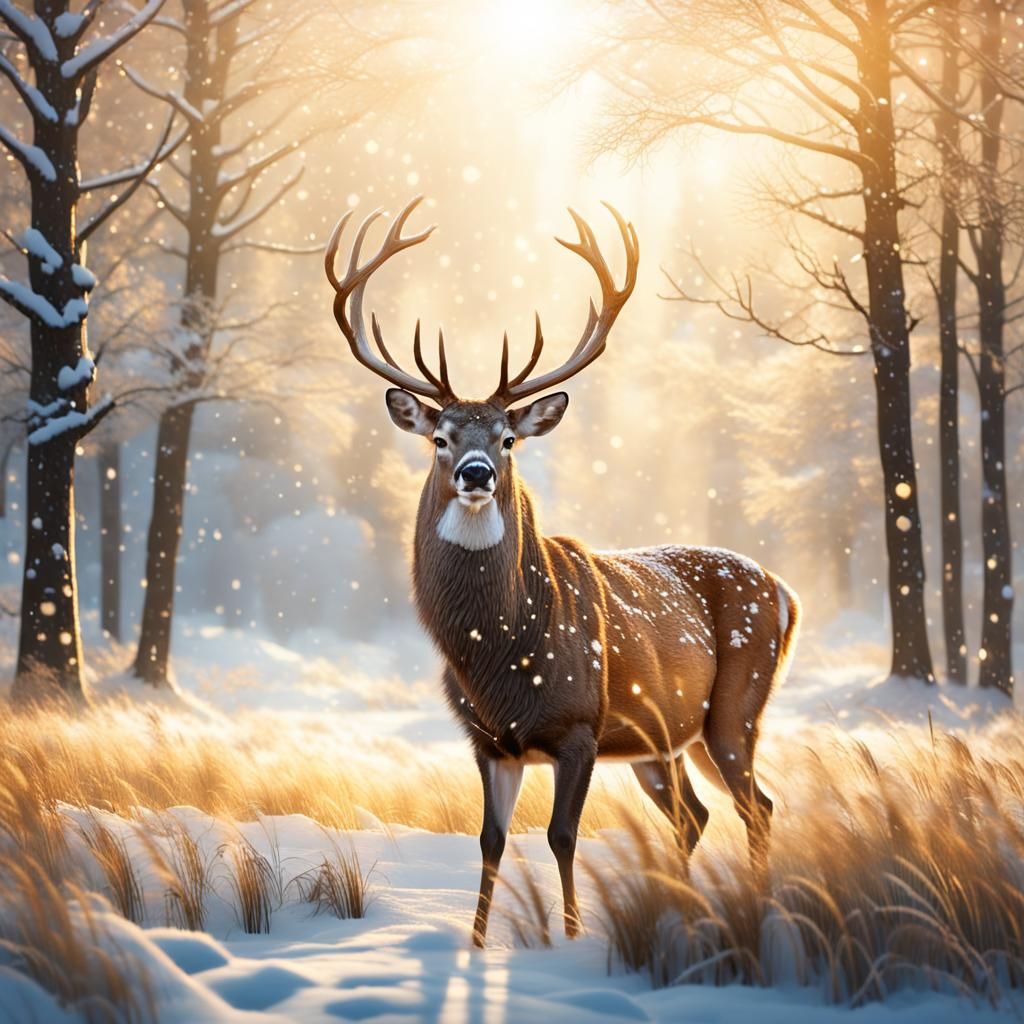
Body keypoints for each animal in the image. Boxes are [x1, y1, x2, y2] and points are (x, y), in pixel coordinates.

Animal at [324, 197, 801, 947]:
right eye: (440, 438)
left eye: (508, 438)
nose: (477, 473)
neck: (500, 653)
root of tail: (787, 593)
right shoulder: (490, 741)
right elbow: (490, 839)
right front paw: (477, 943)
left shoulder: (579, 725)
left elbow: (561, 836)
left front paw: (572, 939)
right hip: (661, 742)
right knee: (696, 815)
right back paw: (687, 908)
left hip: (735, 709)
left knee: (758, 804)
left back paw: (753, 908)